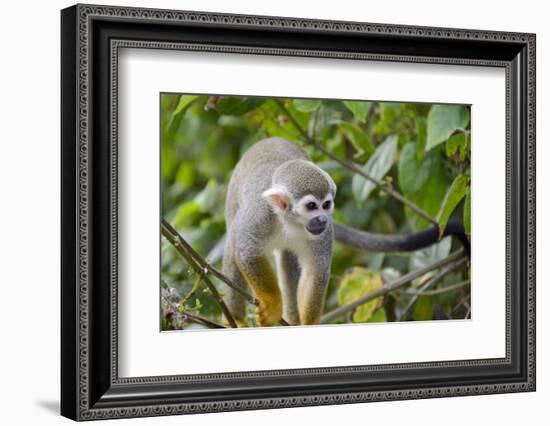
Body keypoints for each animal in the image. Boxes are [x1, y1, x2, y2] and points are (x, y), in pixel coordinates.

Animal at [224, 136, 470, 326]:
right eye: (311, 206)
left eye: (326, 204)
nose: (323, 219)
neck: (290, 221)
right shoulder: (259, 215)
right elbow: (246, 250)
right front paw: (272, 303)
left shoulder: (324, 233)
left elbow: (316, 271)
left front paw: (306, 324)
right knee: (233, 243)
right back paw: (236, 319)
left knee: (288, 261)